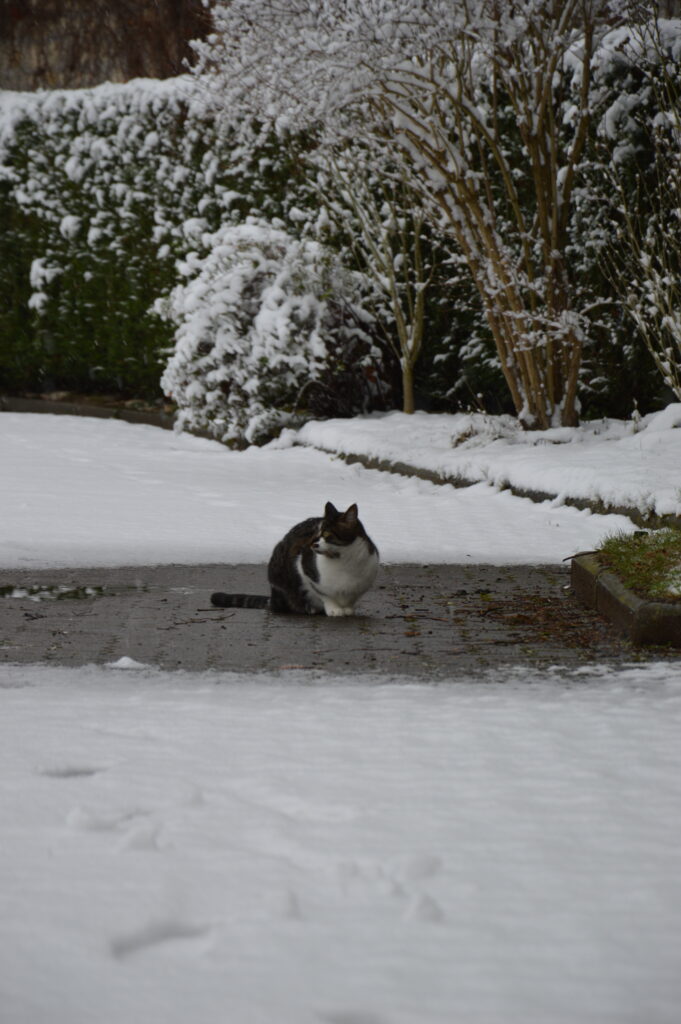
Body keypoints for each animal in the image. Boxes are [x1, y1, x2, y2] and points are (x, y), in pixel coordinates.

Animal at [209, 501, 376, 614]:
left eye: (327, 534)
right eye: (316, 533)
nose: (313, 544)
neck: (345, 561)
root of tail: (273, 598)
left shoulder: (362, 583)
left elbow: (351, 597)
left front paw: (347, 608)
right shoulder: (304, 568)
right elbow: (325, 594)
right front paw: (334, 609)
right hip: (279, 572)